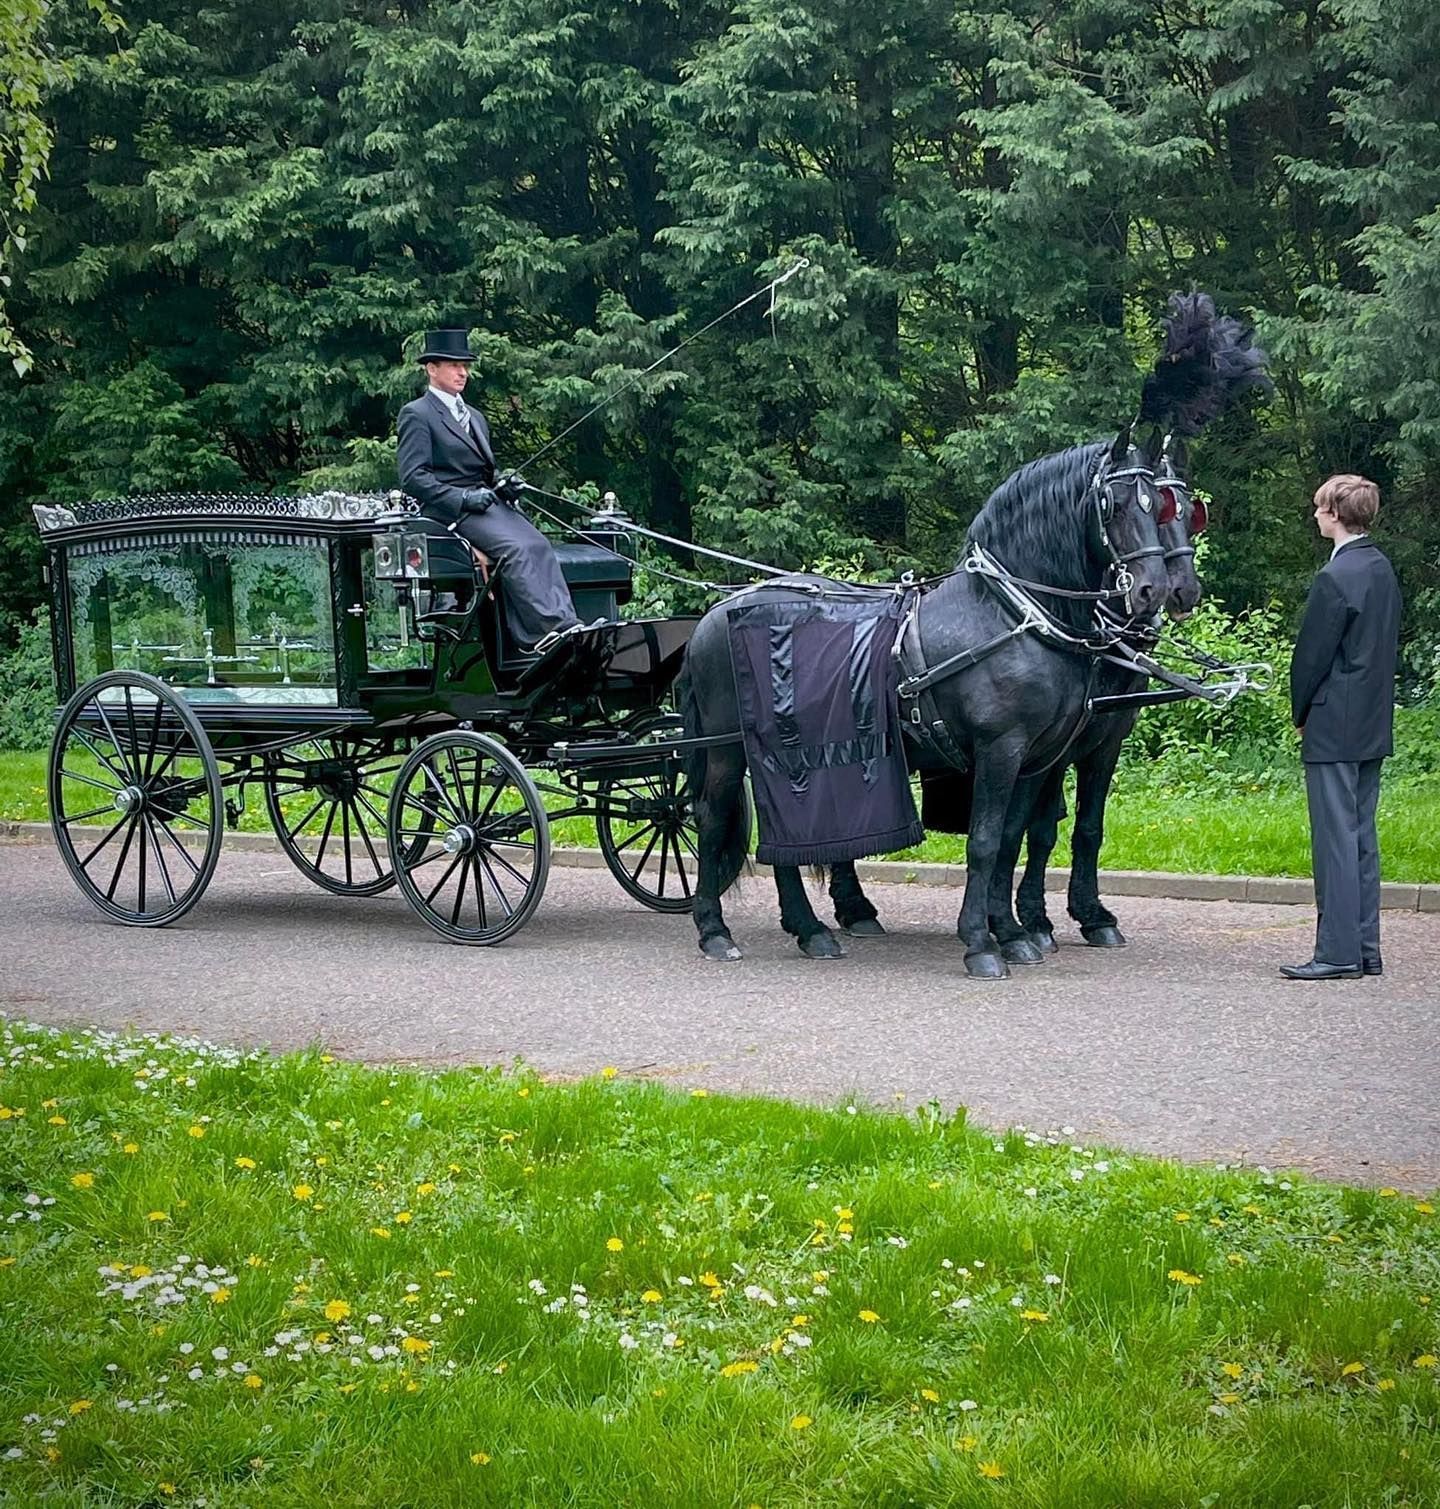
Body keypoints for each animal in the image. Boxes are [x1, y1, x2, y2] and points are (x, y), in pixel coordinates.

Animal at [682, 425, 1165, 977]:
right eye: (1115, 503)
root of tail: (716, 612)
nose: (1152, 592)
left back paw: (810, 931)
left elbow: (1011, 839)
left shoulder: (1037, 758)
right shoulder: (1001, 748)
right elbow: (985, 842)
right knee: (711, 817)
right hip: (725, 749)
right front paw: (980, 942)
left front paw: (1013, 932)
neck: (1006, 615)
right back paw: (714, 930)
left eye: (1159, 505)